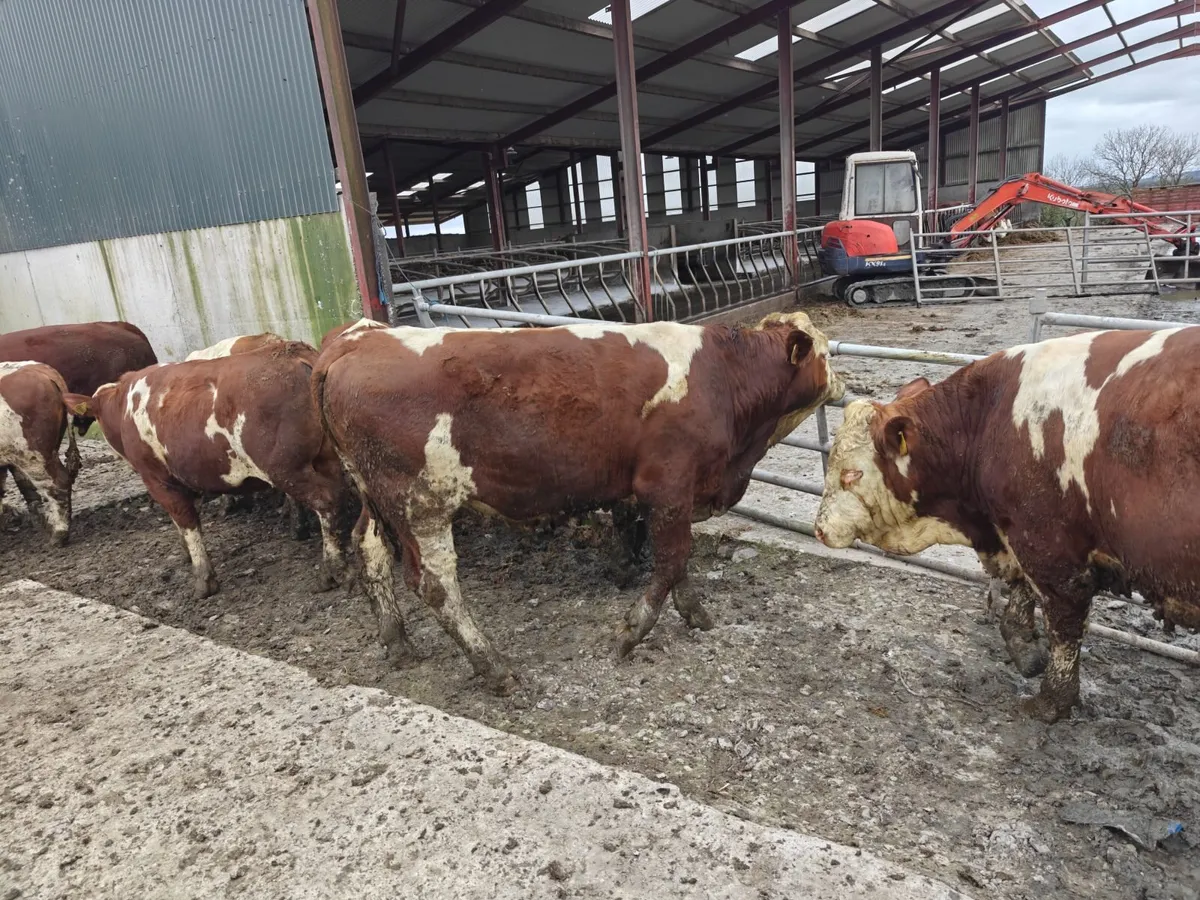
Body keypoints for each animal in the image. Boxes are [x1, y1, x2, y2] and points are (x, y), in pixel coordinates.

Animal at [63, 342, 351, 599]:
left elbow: (187, 521)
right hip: (327, 460)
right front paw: (186, 554)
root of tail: (294, 353)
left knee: (326, 501)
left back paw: (331, 570)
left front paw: (203, 578)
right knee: (338, 498)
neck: (123, 405)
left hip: (287, 469)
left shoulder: (157, 479)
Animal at [313, 313, 844, 694]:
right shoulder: (669, 484)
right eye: (821, 350)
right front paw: (632, 631)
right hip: (421, 502)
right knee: (436, 585)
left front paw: (695, 612)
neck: (723, 376)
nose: (843, 383)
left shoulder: (676, 492)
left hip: (377, 498)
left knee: (370, 551)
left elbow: (677, 563)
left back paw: (397, 640)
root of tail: (357, 340)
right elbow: (672, 559)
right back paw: (495, 667)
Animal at [813, 327, 1200, 723]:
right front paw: (1021, 642)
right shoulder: (1017, 529)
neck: (989, 419)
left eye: (852, 474)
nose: (820, 528)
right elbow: (1022, 588)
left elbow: (1064, 625)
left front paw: (1052, 701)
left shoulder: (1049, 546)